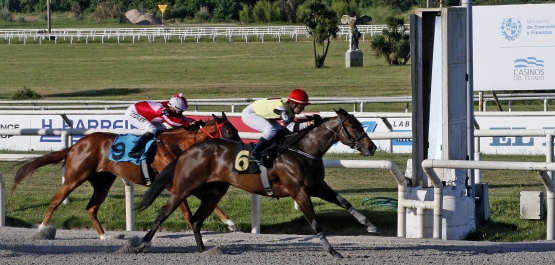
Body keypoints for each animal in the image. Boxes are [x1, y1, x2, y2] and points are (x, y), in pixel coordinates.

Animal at [10, 111, 241, 239]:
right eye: (229, 131)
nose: (241, 147)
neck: (177, 145)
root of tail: (75, 145)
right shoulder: (173, 184)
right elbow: (186, 211)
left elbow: (209, 200)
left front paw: (231, 223)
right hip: (76, 176)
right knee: (56, 200)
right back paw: (41, 229)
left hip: (102, 182)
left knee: (91, 208)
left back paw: (104, 237)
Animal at [133, 108, 380, 258]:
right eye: (354, 126)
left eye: (362, 125)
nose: (372, 147)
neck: (303, 150)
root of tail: (188, 151)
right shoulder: (299, 191)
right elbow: (315, 223)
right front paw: (332, 251)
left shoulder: (318, 186)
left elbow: (344, 202)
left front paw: (370, 225)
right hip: (184, 187)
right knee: (164, 212)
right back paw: (142, 244)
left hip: (214, 192)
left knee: (195, 220)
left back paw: (204, 250)